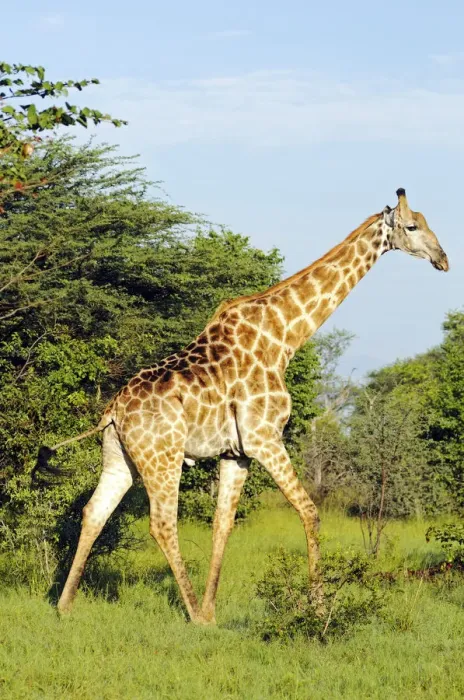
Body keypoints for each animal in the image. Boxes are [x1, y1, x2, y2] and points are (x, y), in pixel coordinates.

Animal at [36, 188, 448, 624]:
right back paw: (191, 615)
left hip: (121, 458)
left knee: (93, 511)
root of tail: (112, 410)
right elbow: (310, 512)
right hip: (163, 457)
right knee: (162, 523)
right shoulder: (265, 438)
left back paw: (65, 606)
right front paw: (318, 609)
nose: (443, 259)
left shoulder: (237, 452)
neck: (284, 337)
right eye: (411, 226)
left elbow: (223, 525)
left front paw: (213, 610)